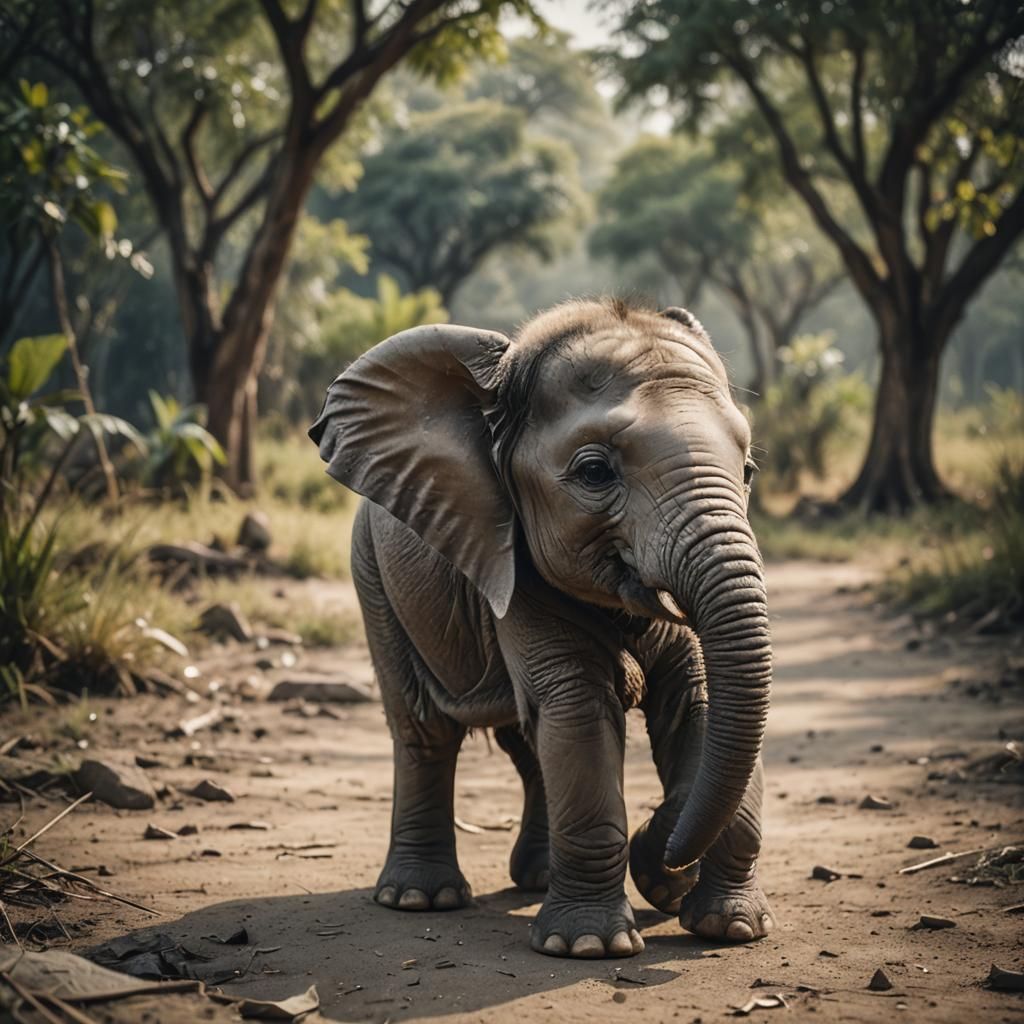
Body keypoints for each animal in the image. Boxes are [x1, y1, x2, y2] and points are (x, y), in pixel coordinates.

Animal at [309, 299, 773, 959]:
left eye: (749, 470)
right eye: (595, 472)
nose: (666, 856)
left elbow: (701, 703)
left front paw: (729, 928)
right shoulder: (513, 565)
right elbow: (578, 706)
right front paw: (589, 946)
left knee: (527, 742)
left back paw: (538, 878)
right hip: (371, 574)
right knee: (425, 729)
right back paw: (420, 898)